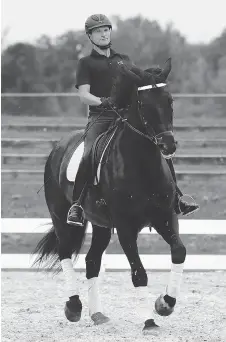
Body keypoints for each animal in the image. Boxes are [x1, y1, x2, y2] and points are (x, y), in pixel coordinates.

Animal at [33, 59, 185, 334]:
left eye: (169, 100)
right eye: (143, 105)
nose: (167, 146)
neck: (143, 164)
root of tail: (59, 146)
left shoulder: (165, 216)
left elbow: (179, 252)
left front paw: (164, 304)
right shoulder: (125, 226)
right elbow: (139, 273)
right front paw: (149, 322)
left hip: (101, 225)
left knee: (92, 261)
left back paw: (98, 315)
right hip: (61, 217)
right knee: (64, 252)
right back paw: (74, 307)